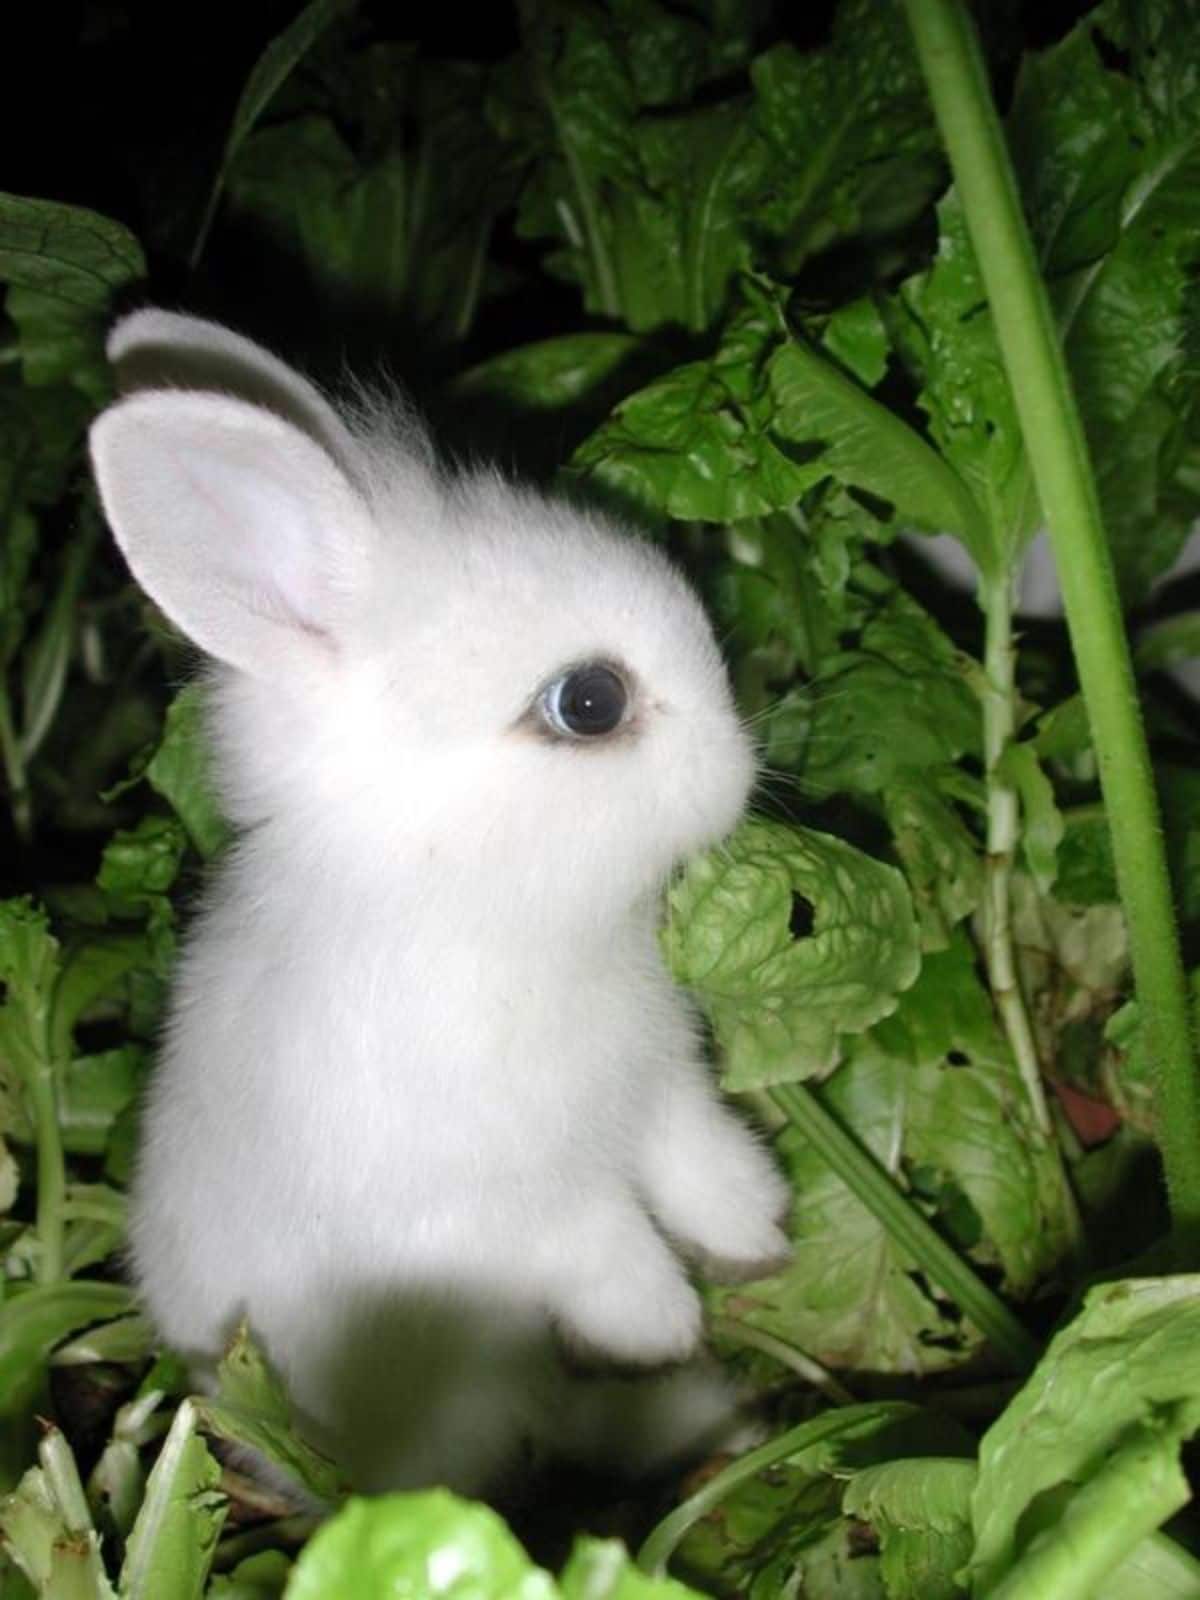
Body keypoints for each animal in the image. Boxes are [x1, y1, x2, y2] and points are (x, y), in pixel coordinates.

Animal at [91, 315, 790, 1497]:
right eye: (589, 702)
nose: (742, 766)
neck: (464, 904)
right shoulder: (503, 1202)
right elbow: (602, 1245)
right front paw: (665, 1323)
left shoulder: (654, 1090)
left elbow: (694, 1159)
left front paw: (759, 1232)